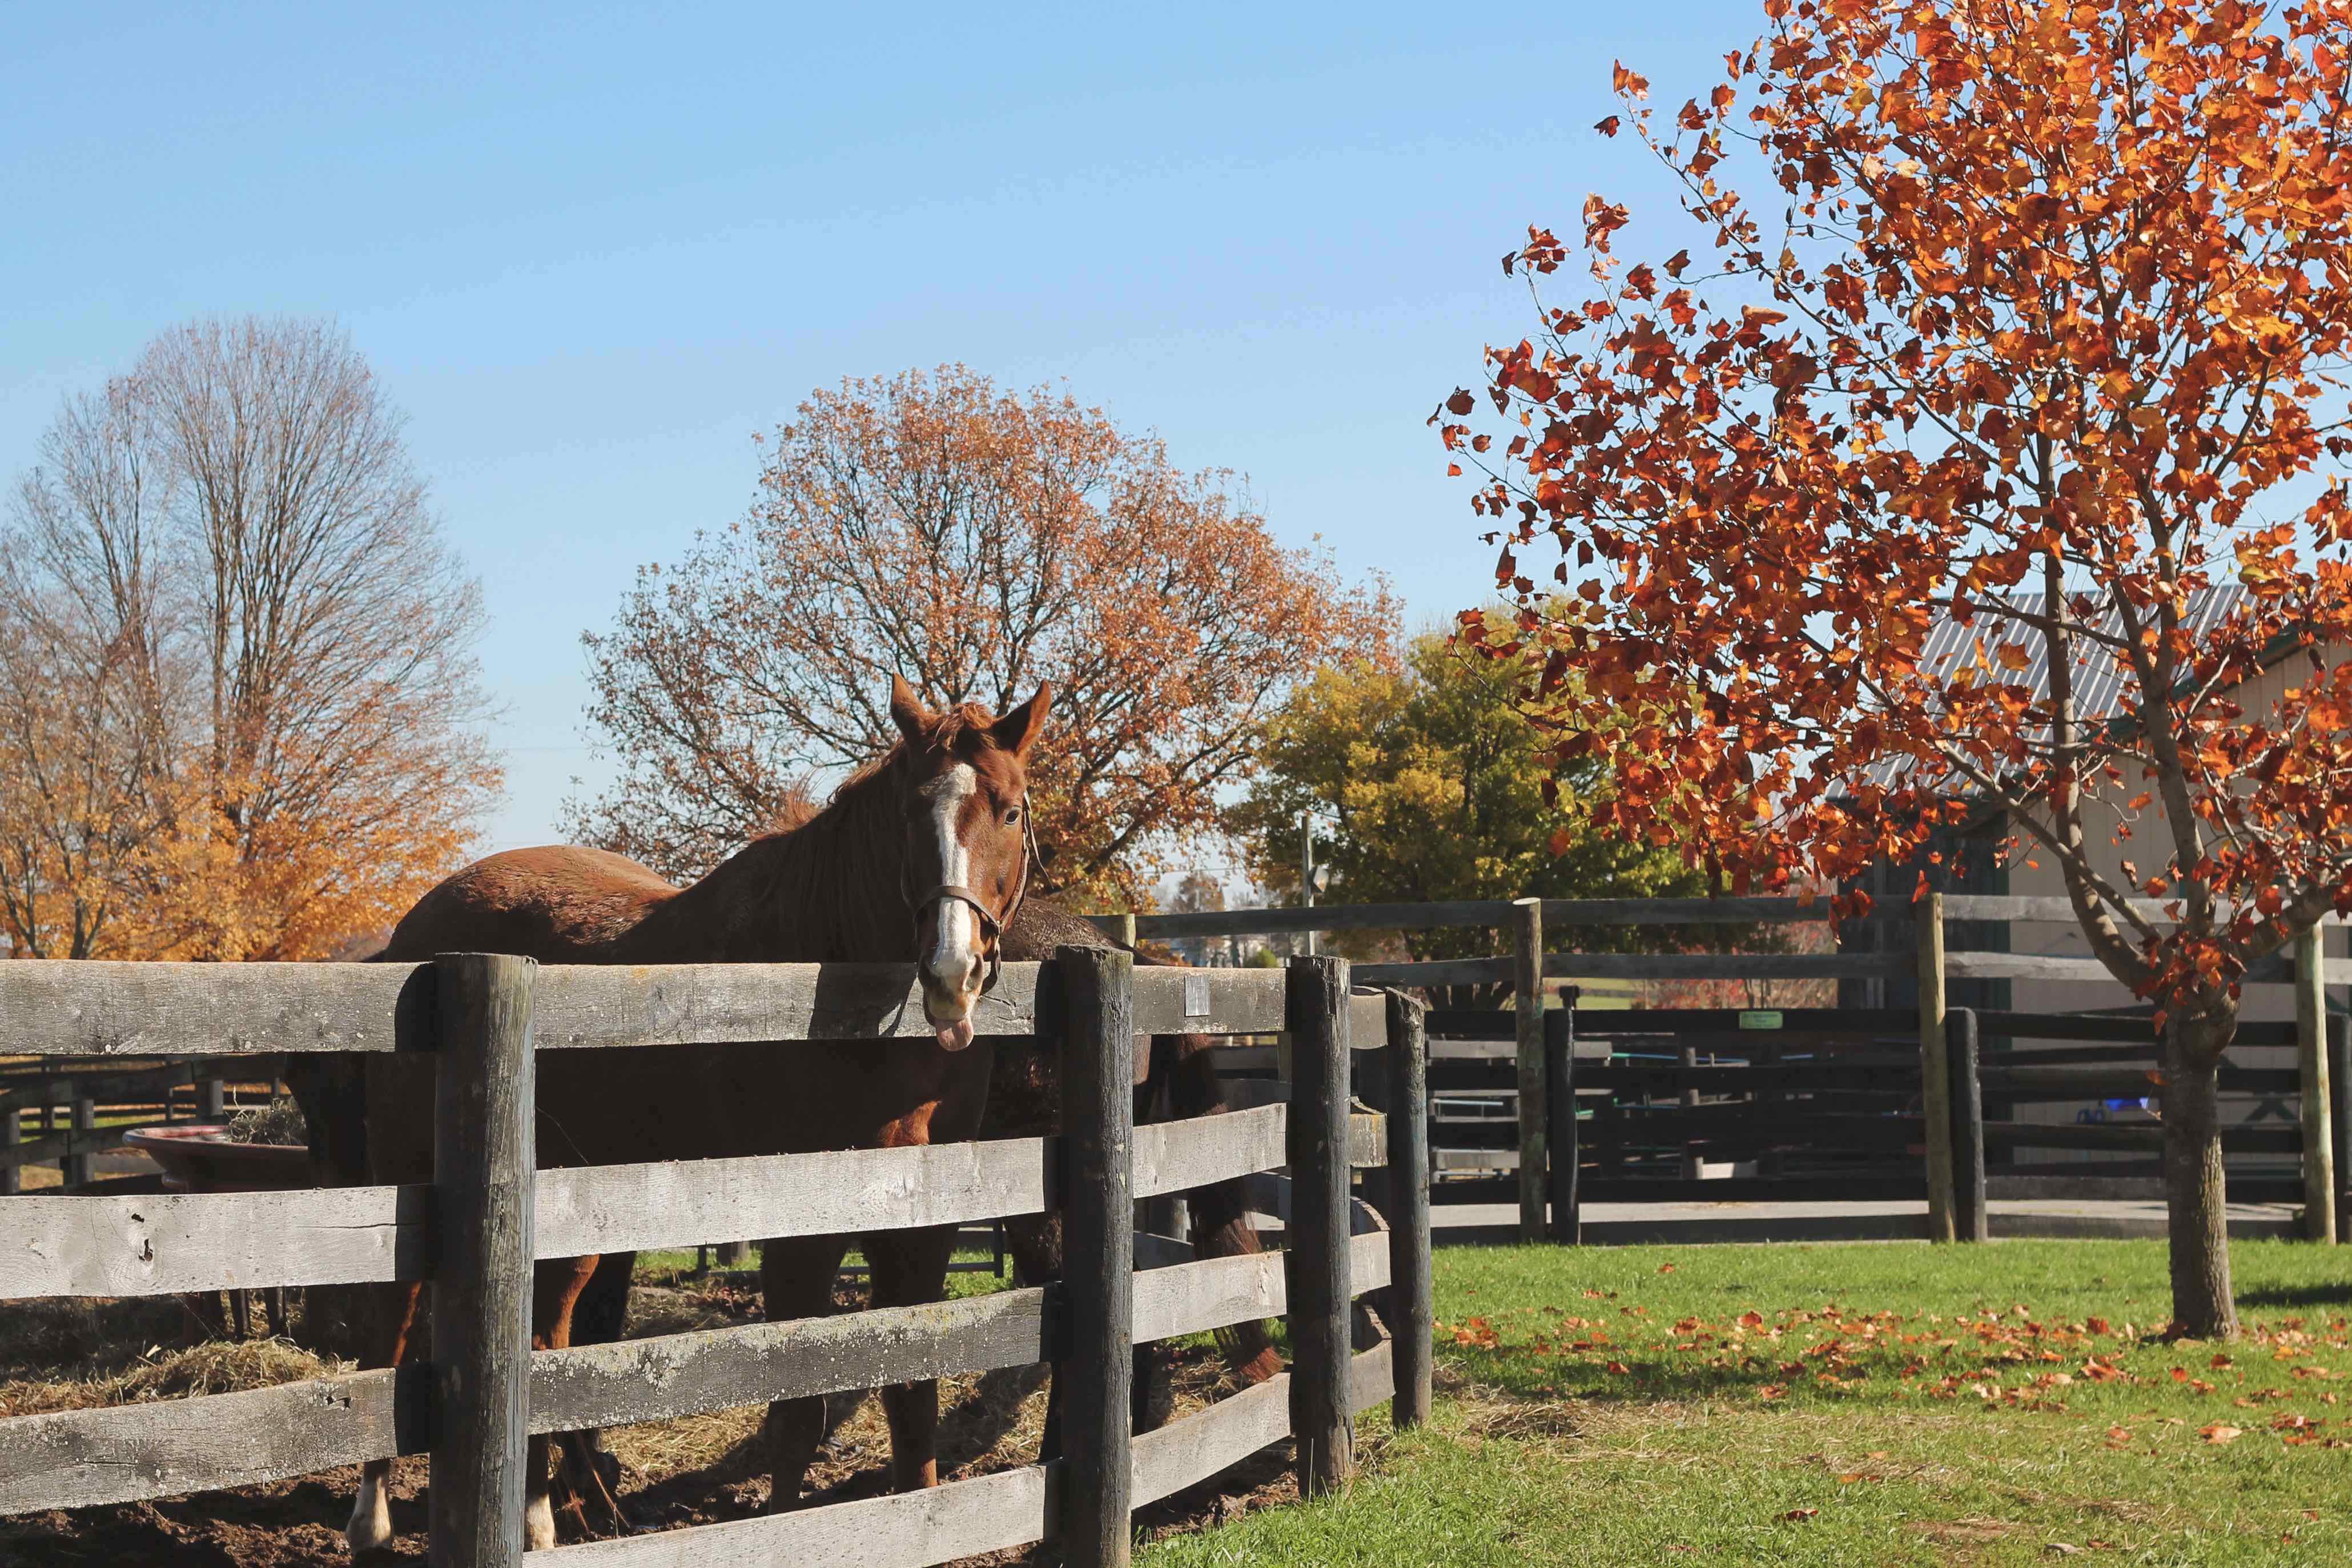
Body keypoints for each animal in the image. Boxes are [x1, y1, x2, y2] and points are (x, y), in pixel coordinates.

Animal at [341, 677, 1049, 1561]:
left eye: (1010, 810)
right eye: (909, 814)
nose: (952, 970)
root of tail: (416, 929)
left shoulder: (923, 1227)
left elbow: (911, 1396)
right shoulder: (799, 1229)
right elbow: (797, 1409)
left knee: (546, 1340)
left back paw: (542, 1517)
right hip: (410, 1172)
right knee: (392, 1324)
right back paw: (371, 1518)